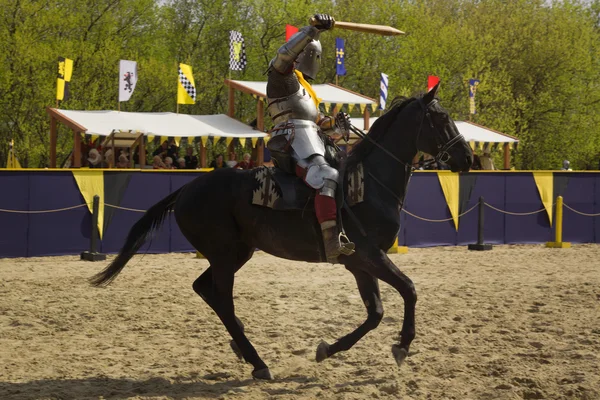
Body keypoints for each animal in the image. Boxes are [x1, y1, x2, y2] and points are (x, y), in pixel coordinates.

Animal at [90, 83, 474, 378]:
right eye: (441, 118)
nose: (467, 158)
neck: (367, 183)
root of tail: (187, 188)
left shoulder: (359, 263)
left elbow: (375, 313)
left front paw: (328, 349)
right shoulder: (370, 256)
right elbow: (408, 290)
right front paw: (403, 345)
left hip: (236, 252)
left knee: (204, 289)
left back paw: (242, 346)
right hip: (225, 256)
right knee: (222, 299)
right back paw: (257, 361)